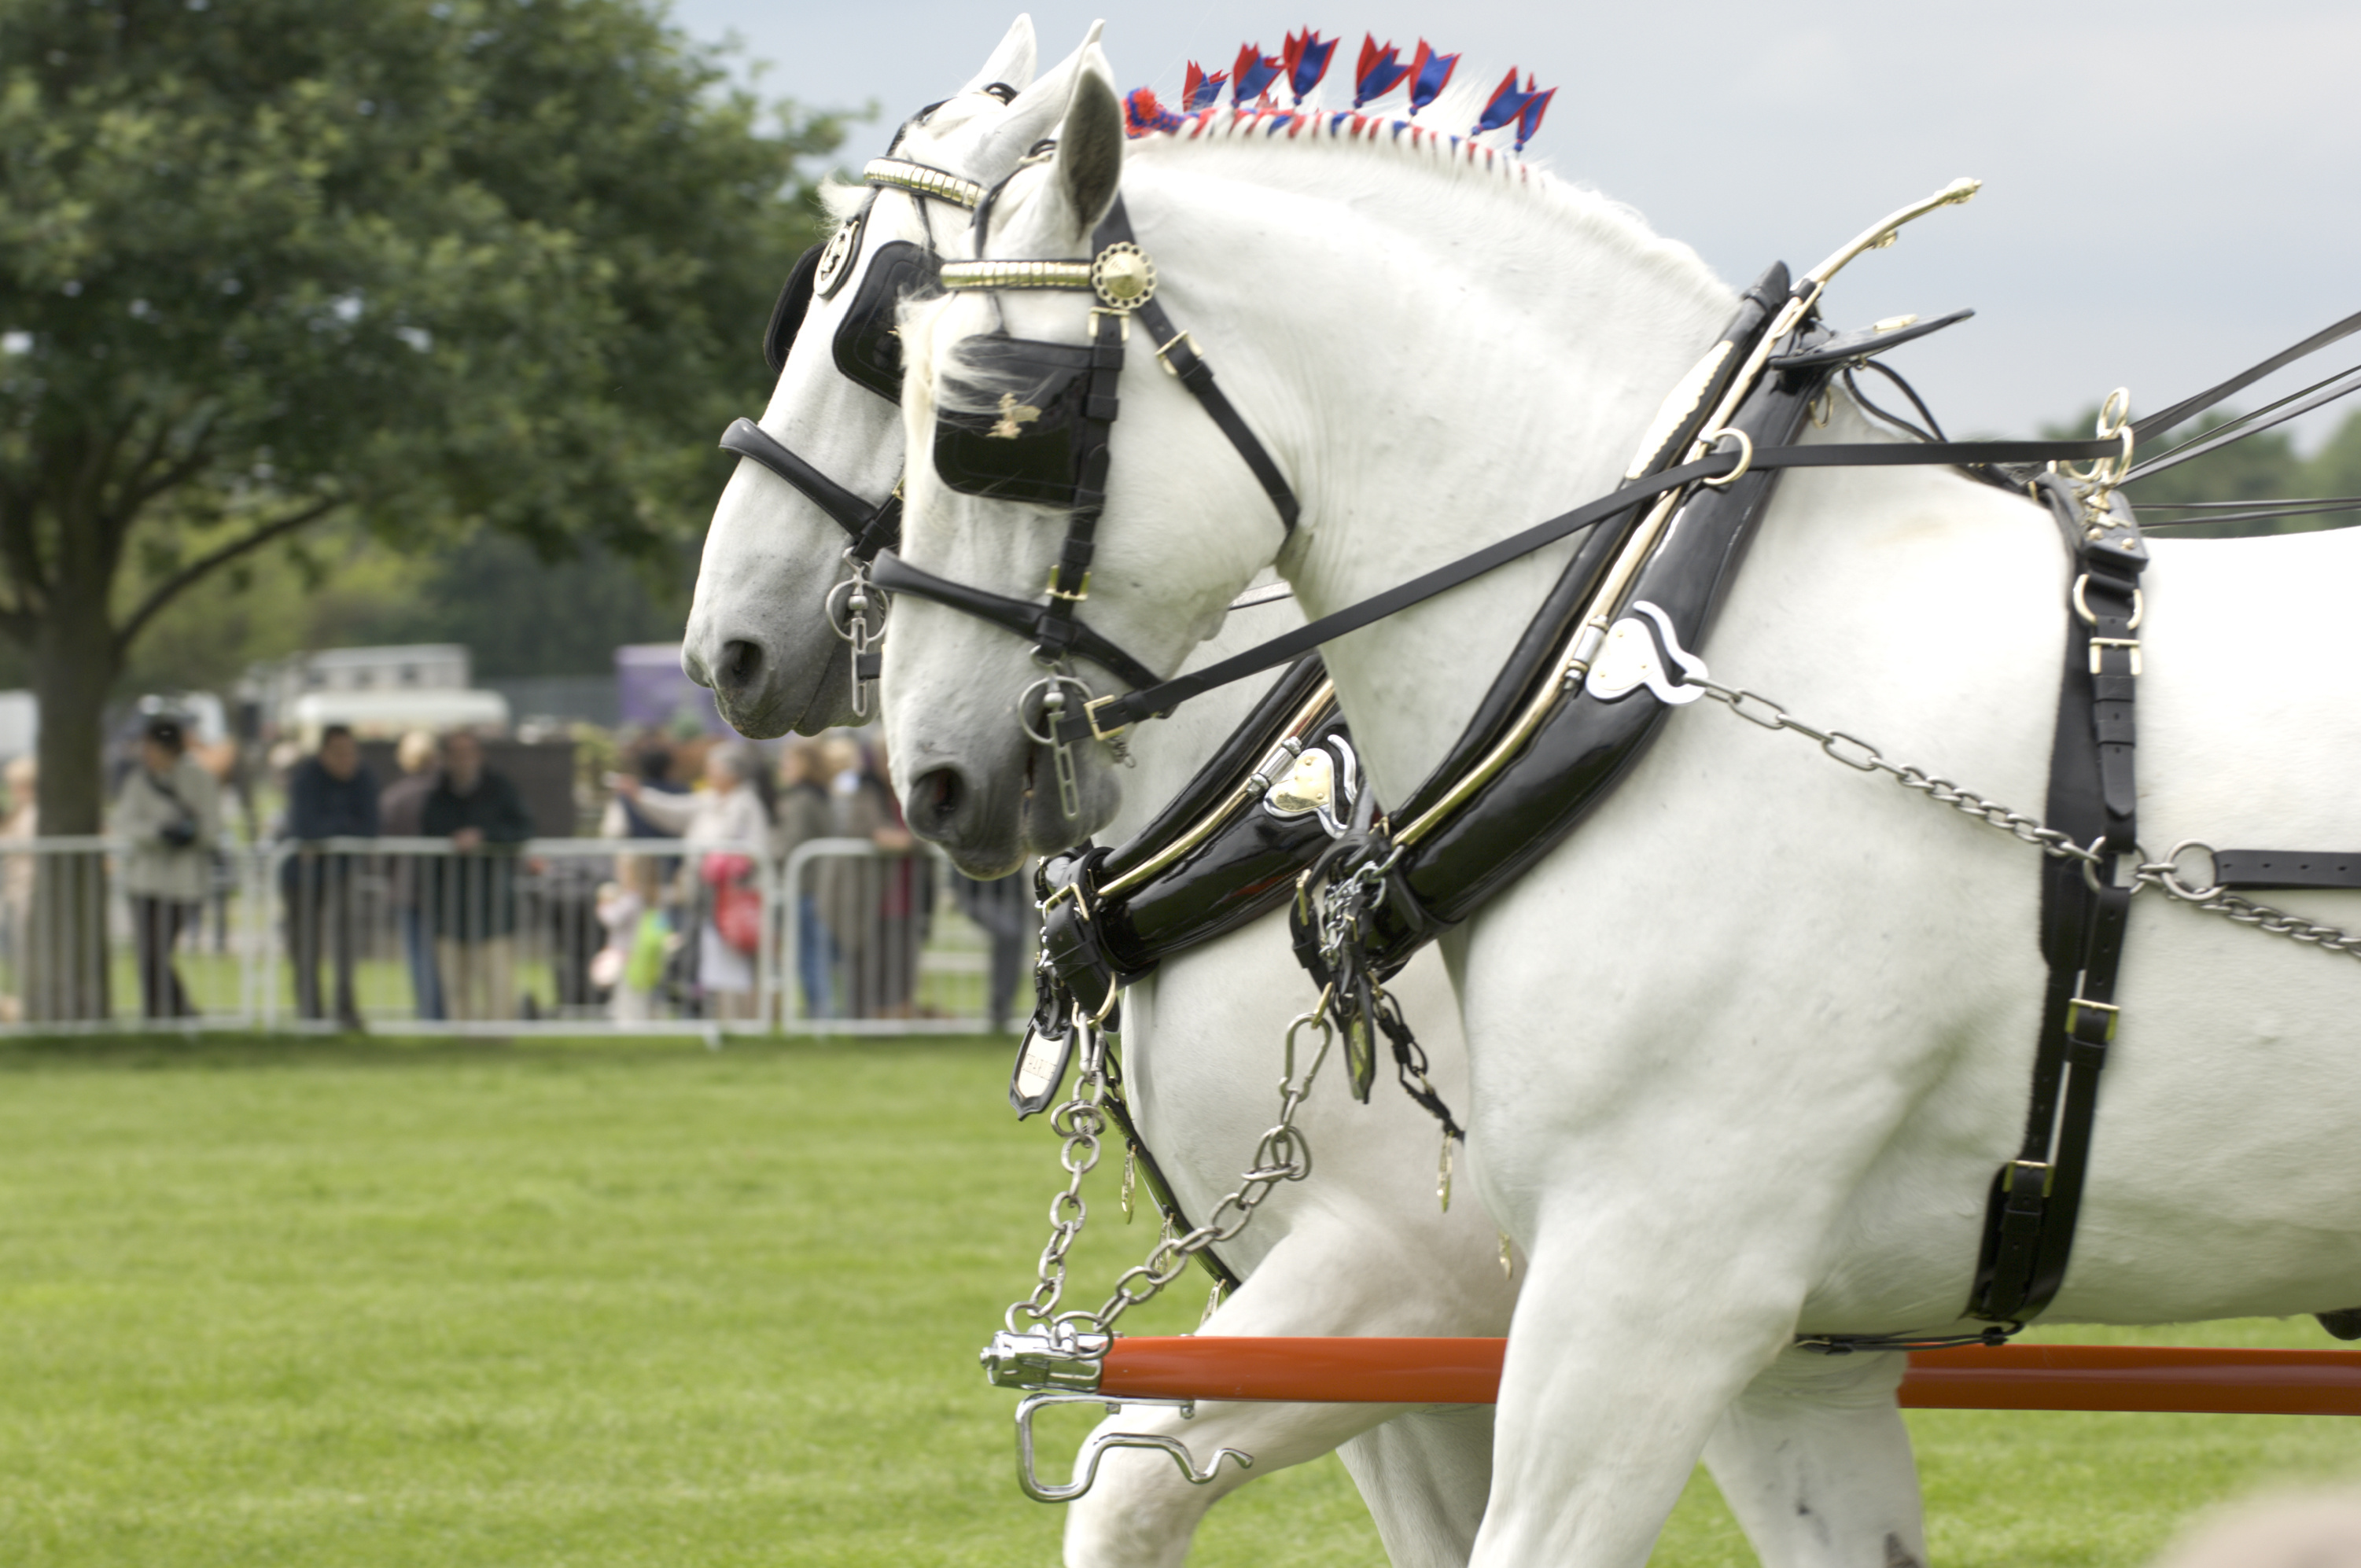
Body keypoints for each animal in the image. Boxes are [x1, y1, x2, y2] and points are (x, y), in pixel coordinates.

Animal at [882, 52, 2361, 1567]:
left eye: (992, 421)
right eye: (891, 356)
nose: (931, 769)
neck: (1647, 655)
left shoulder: (1625, 1283)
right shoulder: (1786, 1355)